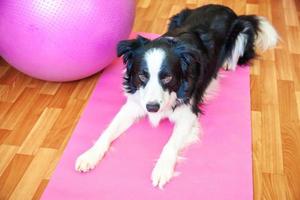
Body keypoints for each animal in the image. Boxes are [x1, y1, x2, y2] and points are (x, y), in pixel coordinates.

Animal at [75, 3, 278, 188]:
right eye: (142, 75)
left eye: (168, 77)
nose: (152, 108)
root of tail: (224, 7)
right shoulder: (134, 104)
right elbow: (108, 130)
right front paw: (89, 155)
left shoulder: (188, 114)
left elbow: (170, 143)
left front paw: (162, 170)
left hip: (242, 31)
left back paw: (228, 63)